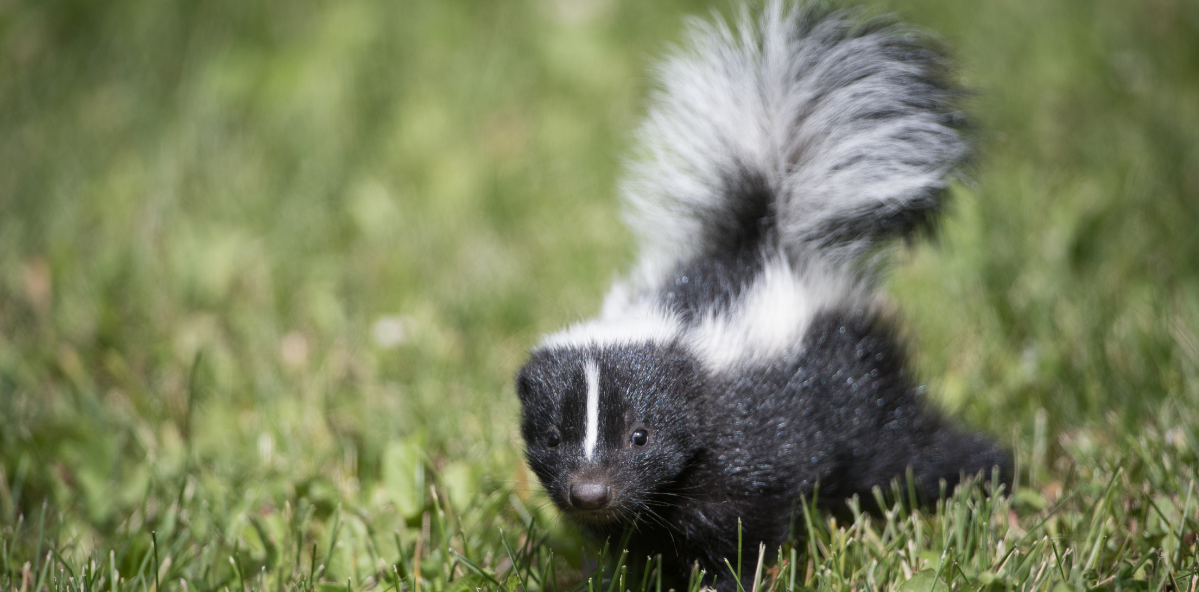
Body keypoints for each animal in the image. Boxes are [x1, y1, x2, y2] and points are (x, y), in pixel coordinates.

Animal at [510, 2, 1007, 589]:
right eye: (552, 437)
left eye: (640, 435)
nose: (590, 492)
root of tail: (769, 238)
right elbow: (635, 544)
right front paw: (622, 574)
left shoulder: (750, 449)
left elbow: (741, 532)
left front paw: (723, 582)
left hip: (862, 393)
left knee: (912, 451)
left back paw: (994, 475)